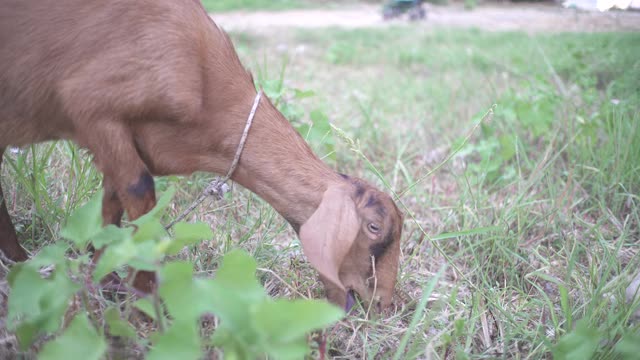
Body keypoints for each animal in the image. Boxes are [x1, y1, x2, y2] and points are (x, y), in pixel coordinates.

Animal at [0, 0, 402, 310]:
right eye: (374, 227)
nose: (382, 303)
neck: (202, 75)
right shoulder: (90, 108)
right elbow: (140, 193)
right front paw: (144, 303)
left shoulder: (127, 142)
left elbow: (110, 207)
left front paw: (103, 280)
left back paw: (18, 262)